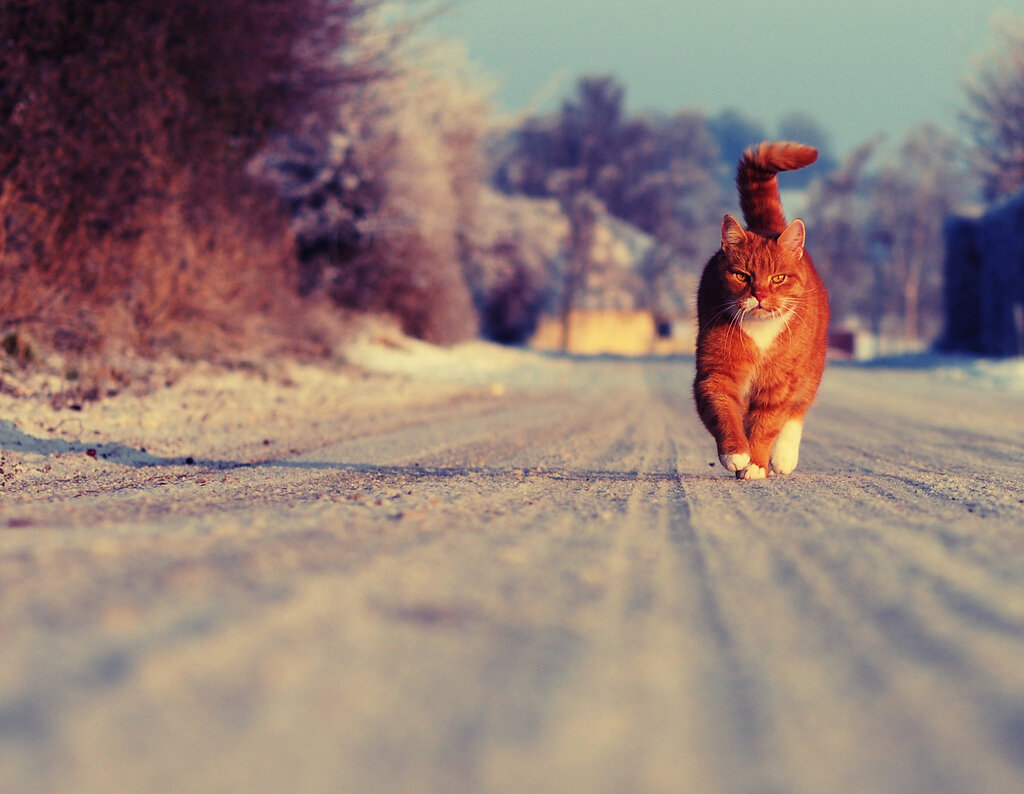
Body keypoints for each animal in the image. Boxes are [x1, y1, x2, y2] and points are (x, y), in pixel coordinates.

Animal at [696, 139, 831, 481]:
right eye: (743, 276)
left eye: (777, 278)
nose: (758, 294)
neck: (760, 332)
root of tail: (767, 226)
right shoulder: (716, 373)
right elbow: (723, 412)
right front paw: (736, 453)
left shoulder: (779, 384)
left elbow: (766, 425)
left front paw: (756, 463)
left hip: (809, 369)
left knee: (797, 411)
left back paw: (783, 458)